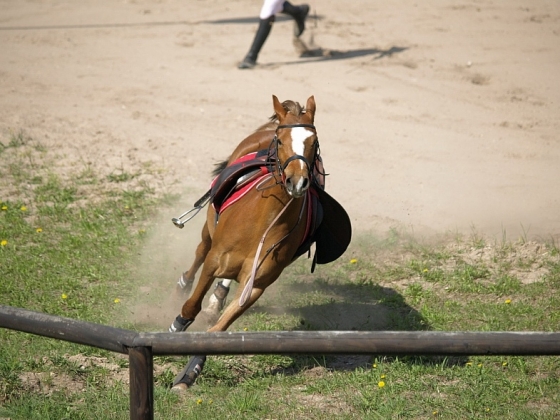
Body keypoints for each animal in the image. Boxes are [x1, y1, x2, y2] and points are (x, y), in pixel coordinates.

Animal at [168, 95, 350, 390]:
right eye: (282, 140)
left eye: (314, 142)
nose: (297, 181)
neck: (264, 222)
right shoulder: (214, 262)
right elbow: (191, 305)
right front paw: (176, 326)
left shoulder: (256, 287)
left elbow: (218, 330)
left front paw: (190, 373)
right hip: (209, 230)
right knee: (200, 252)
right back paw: (183, 285)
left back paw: (218, 296)